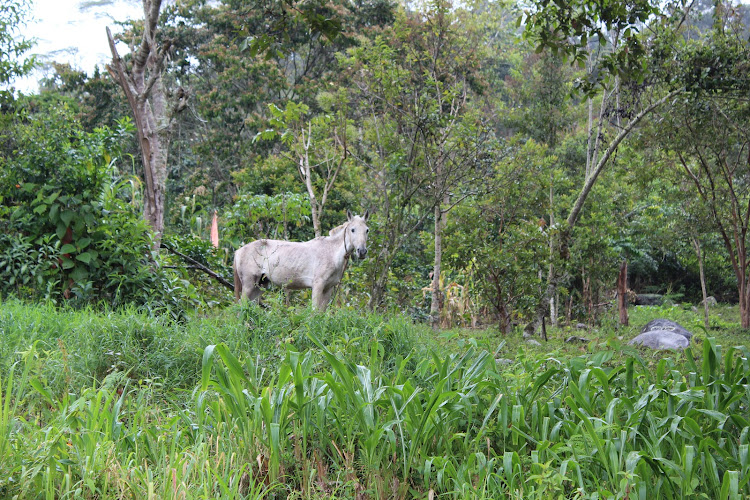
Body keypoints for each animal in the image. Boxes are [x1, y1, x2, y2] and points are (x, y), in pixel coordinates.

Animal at [232, 210, 368, 310]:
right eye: (353, 229)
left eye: (367, 230)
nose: (362, 251)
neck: (331, 252)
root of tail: (238, 251)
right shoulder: (318, 286)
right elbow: (314, 311)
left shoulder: (328, 289)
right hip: (249, 285)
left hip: (260, 286)